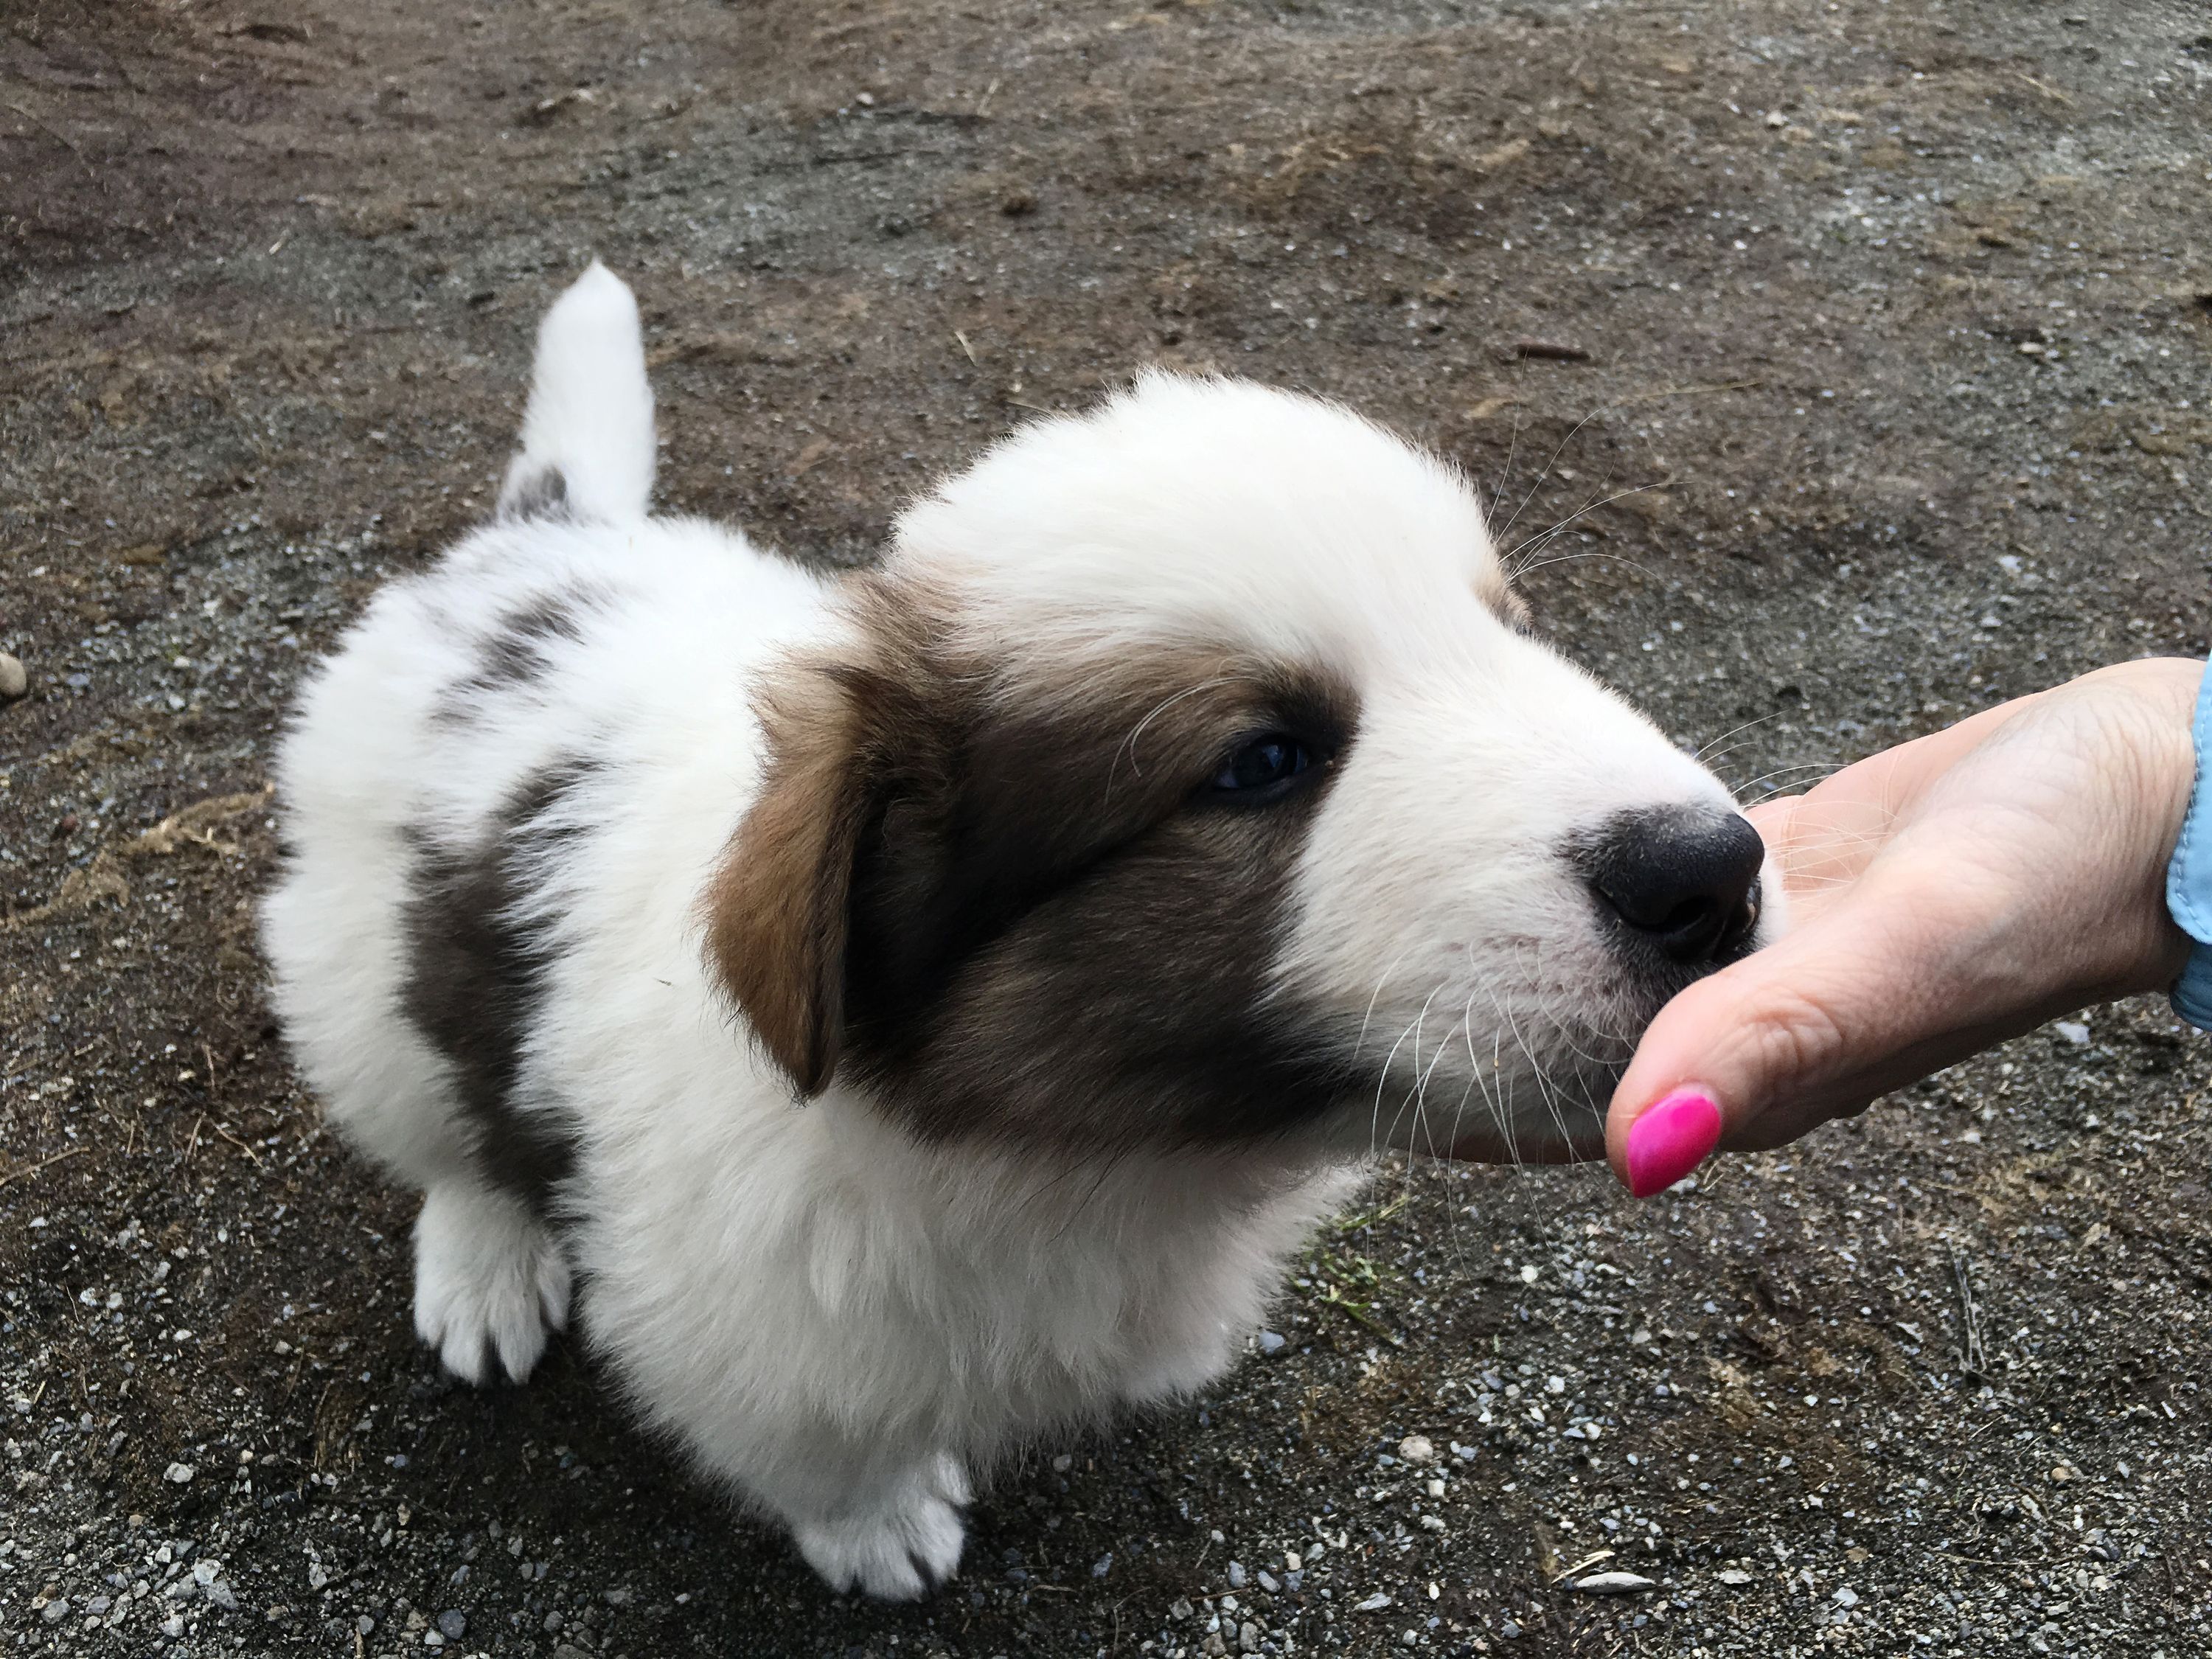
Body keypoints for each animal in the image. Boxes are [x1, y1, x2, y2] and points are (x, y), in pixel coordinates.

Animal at [263, 266, 1778, 1601]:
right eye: (1260, 765)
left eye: (1511, 632)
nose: (1713, 871)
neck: (1086, 1150)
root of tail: (541, 537)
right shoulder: (751, 1333)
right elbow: (822, 1451)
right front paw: (882, 1529)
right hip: (351, 976)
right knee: (441, 1135)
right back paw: (486, 1265)